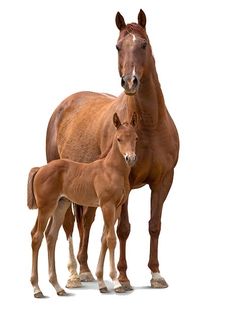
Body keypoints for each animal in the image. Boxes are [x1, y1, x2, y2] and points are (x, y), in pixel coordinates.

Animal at [27, 112, 138, 298]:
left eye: (136, 137)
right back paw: (37, 289)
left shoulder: (116, 207)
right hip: (45, 208)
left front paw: (102, 283)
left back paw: (58, 287)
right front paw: (116, 283)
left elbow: (104, 239)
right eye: (119, 139)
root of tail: (41, 168)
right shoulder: (107, 205)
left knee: (51, 236)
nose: (130, 158)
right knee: (37, 236)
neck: (112, 170)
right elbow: (111, 239)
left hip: (60, 206)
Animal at [45, 9, 179, 292]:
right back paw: (73, 275)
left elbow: (155, 225)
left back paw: (85, 270)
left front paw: (156, 274)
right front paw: (123, 278)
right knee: (69, 224)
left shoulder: (163, 181)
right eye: (118, 46)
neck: (149, 125)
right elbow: (123, 229)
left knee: (86, 221)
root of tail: (66, 104)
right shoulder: (125, 182)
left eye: (143, 44)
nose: (130, 81)